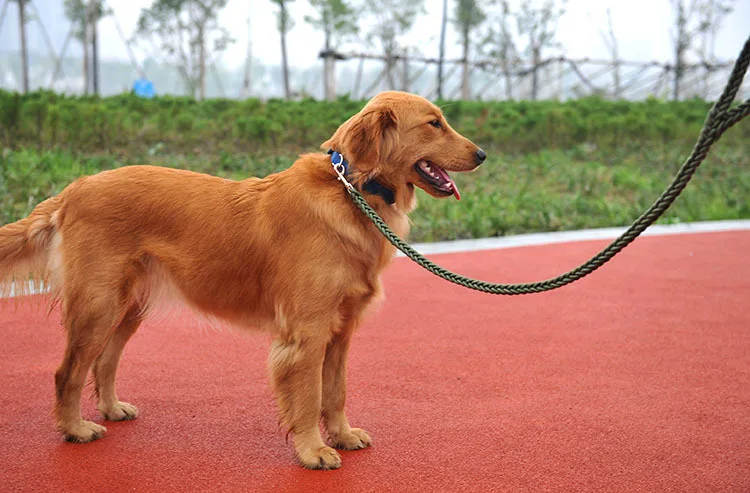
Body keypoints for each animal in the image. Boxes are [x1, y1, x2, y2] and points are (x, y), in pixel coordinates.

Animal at [0, 89, 488, 468]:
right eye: (434, 123)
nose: (482, 155)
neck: (352, 192)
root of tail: (74, 188)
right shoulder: (307, 334)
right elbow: (309, 397)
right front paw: (313, 451)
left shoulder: (341, 331)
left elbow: (335, 392)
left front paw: (343, 435)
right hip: (98, 304)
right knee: (67, 371)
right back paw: (74, 428)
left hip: (128, 306)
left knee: (103, 361)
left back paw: (110, 409)